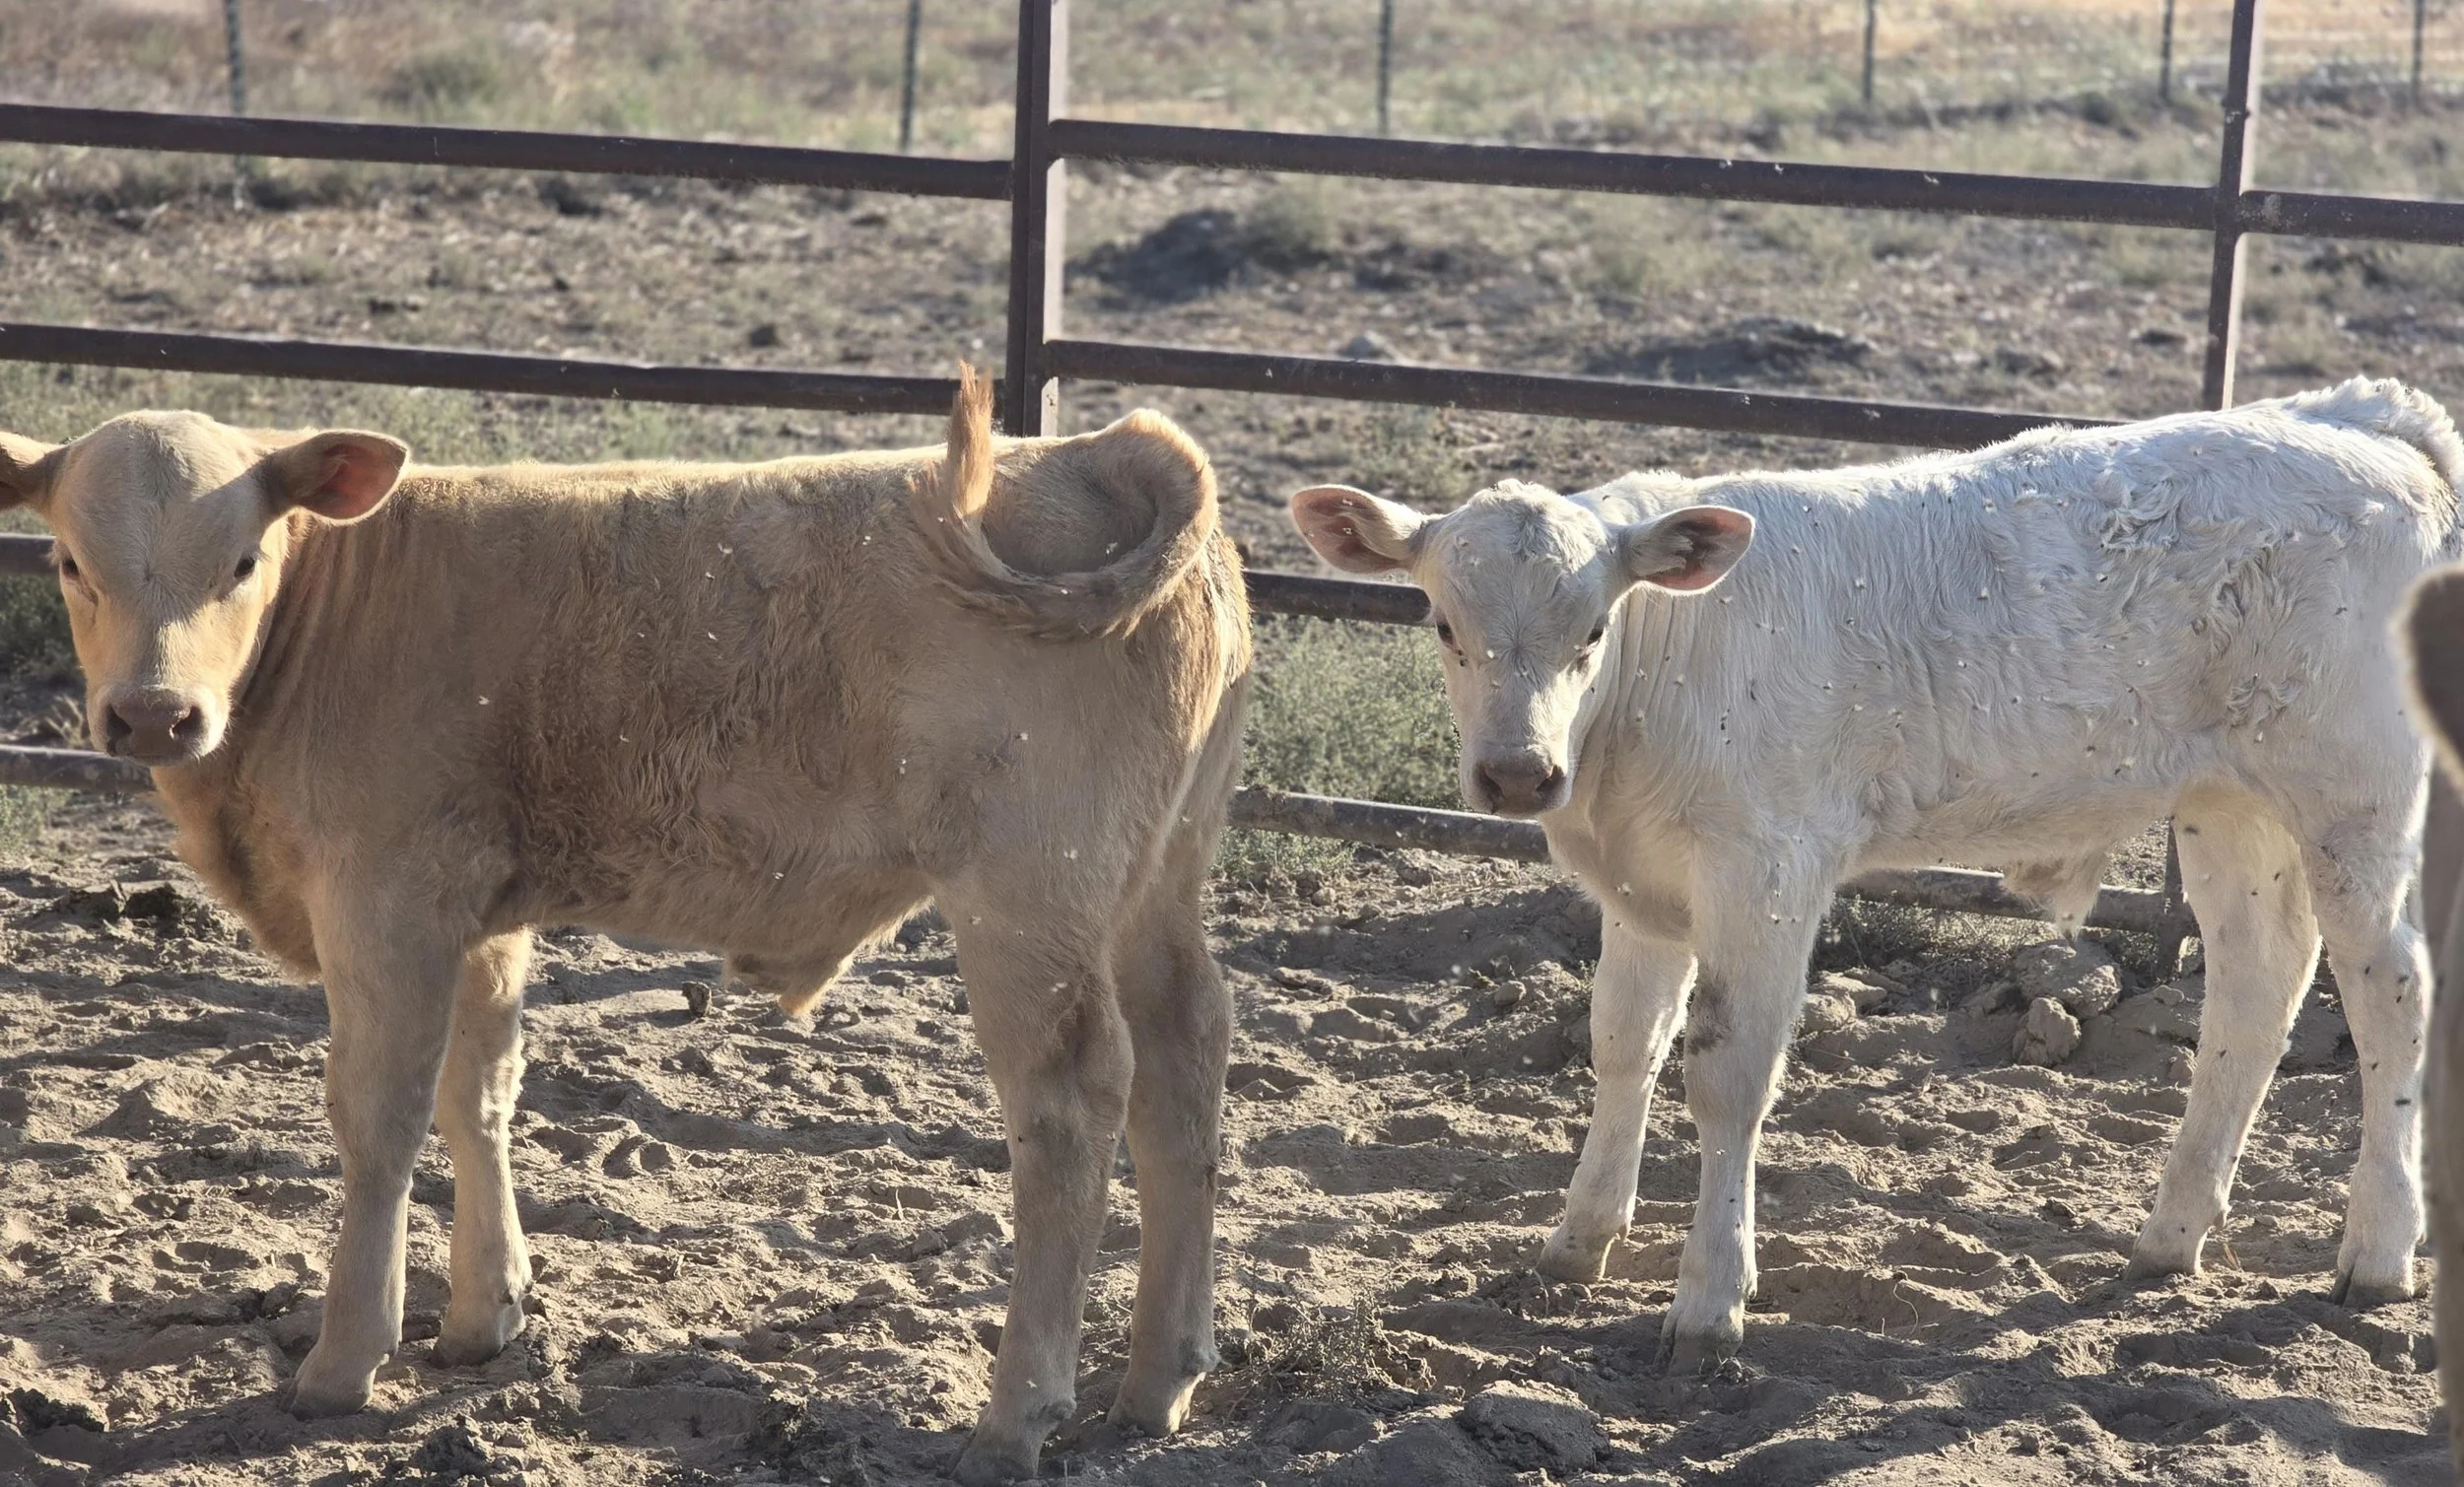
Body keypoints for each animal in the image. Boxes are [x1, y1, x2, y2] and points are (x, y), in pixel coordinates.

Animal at [0, 368, 1251, 1485]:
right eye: (70, 561)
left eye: (244, 561)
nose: (153, 714)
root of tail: (1096, 450)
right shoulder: (478, 913)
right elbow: (478, 1093)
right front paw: (482, 1317)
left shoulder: (385, 898)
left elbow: (380, 1119)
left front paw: (343, 1361)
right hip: (1155, 880)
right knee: (1182, 1062)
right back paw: (1157, 1381)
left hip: (1026, 893)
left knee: (1069, 1105)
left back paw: (1014, 1414)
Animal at [1291, 377, 2459, 1372]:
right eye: (1442, 623)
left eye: (1591, 628)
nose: (1517, 774)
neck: (1658, 677)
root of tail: (2358, 415)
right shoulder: (1644, 886)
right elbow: (1622, 1043)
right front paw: (1577, 1241)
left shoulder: (1765, 870)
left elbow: (1725, 1072)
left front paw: (1708, 1302)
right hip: (2230, 805)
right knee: (2258, 985)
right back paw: (2170, 1236)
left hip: (2353, 794)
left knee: (2391, 988)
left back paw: (2377, 1253)